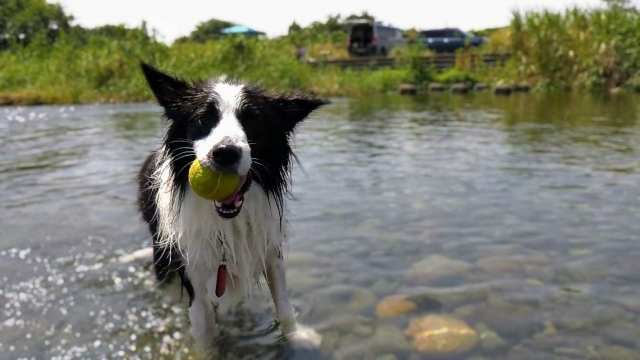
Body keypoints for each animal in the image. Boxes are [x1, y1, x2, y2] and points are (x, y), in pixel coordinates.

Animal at [134, 63, 324, 350]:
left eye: (253, 121)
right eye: (203, 120)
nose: (225, 152)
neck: (227, 223)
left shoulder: (269, 248)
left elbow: (284, 306)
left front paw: (297, 336)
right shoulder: (193, 274)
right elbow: (204, 337)